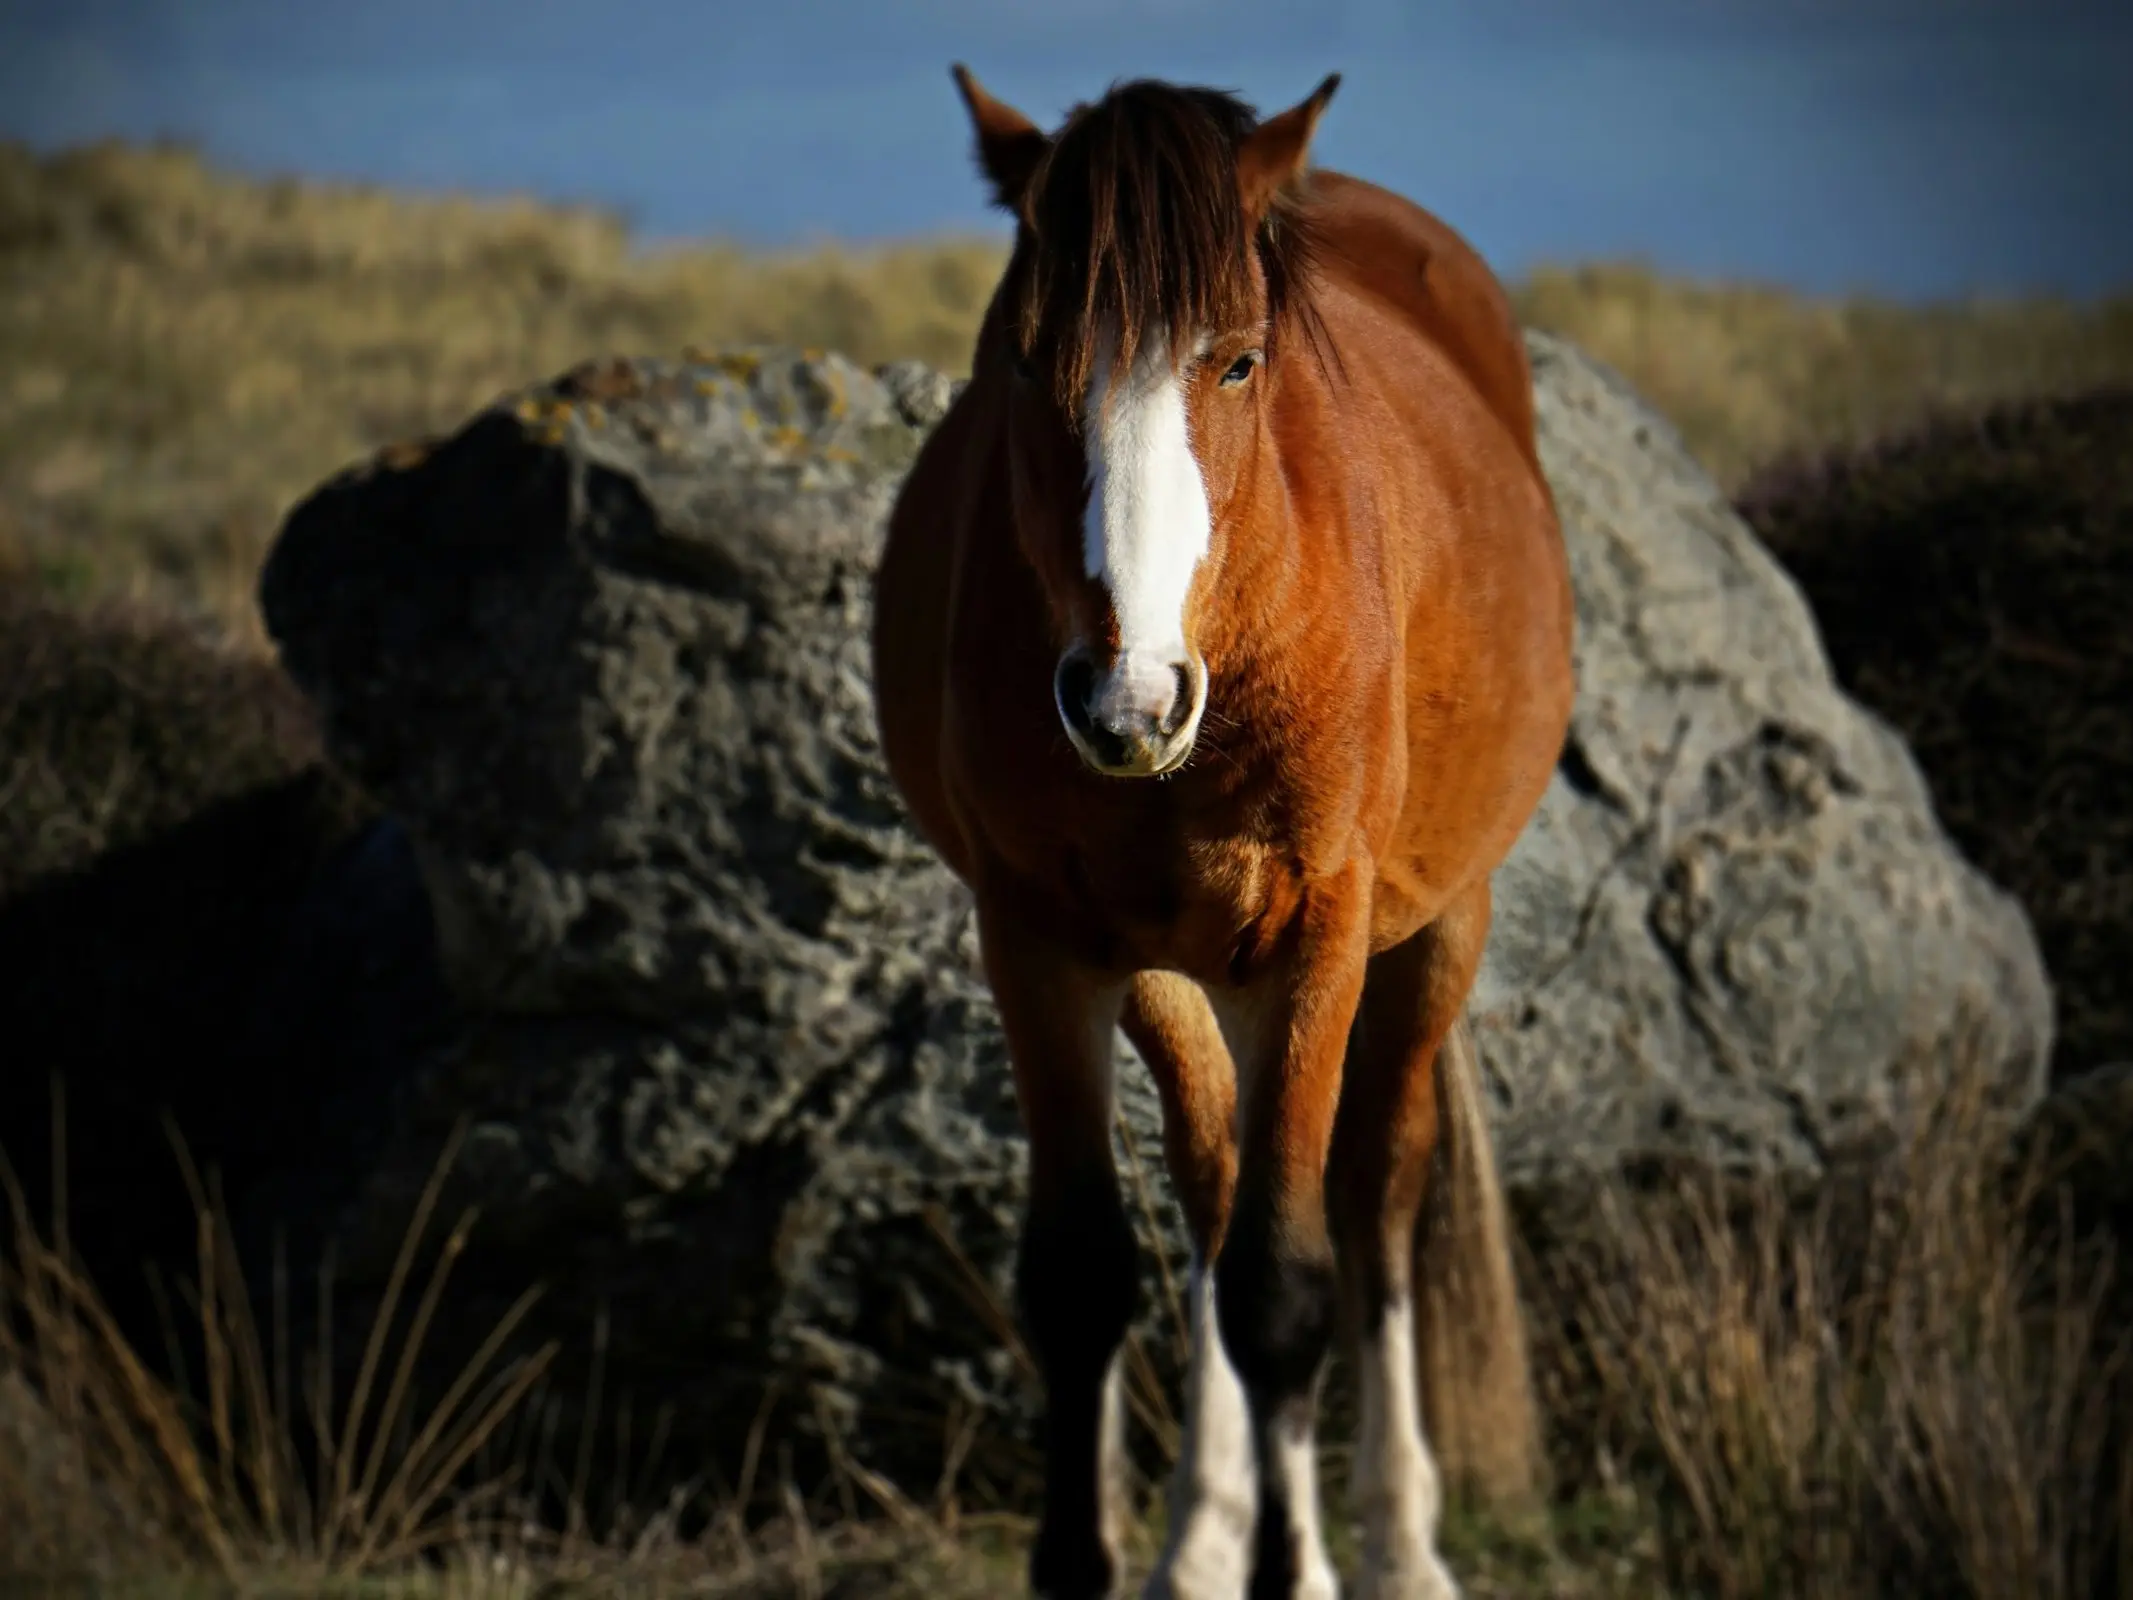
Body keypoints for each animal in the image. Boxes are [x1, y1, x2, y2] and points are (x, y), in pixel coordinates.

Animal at [870, 65, 1586, 1600]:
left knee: (1369, 1202)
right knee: (1212, 1192)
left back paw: (1395, 1543)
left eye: (1240, 364)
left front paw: (1310, 1561)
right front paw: (1114, 1556)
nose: (1124, 697)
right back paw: (1206, 1539)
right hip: (1169, 967)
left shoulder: (1318, 935)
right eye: (1024, 359)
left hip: (1437, 927)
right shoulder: (1039, 940)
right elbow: (1086, 1276)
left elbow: (1286, 1286)